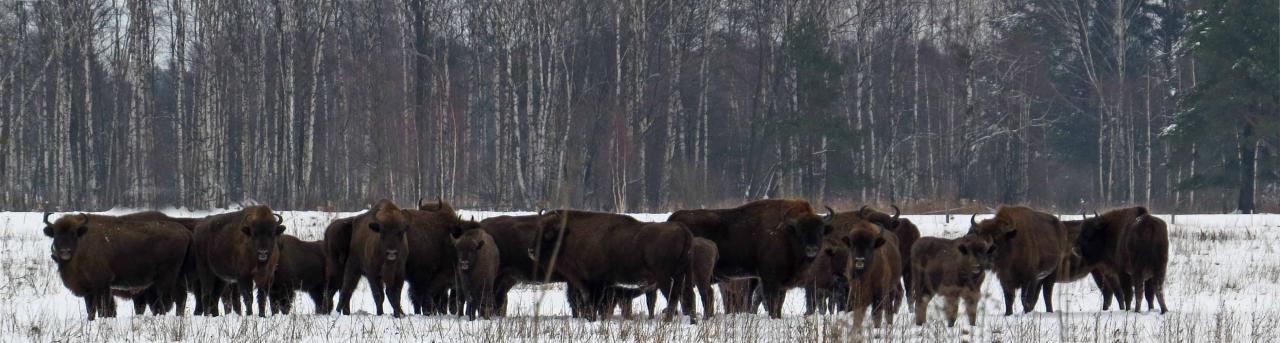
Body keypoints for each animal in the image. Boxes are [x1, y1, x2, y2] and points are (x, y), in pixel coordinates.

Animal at [45, 212, 192, 319]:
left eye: (73, 233)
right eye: (56, 234)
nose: (65, 251)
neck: (82, 242)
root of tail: (185, 232)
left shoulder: (102, 285)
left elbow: (102, 307)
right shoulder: (89, 289)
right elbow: (90, 309)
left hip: (166, 279)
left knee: (169, 301)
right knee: (178, 298)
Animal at [527, 208, 696, 321]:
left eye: (548, 233)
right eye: (537, 229)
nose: (531, 250)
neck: (569, 233)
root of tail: (683, 230)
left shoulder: (595, 283)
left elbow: (594, 303)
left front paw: (592, 319)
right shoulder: (585, 283)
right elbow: (590, 302)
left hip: (665, 278)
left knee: (672, 297)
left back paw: (667, 320)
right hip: (681, 276)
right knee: (684, 296)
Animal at [665, 199, 834, 317]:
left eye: (820, 231)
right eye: (800, 231)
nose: (811, 249)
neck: (786, 232)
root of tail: (673, 219)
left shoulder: (780, 284)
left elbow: (779, 303)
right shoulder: (770, 279)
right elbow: (772, 302)